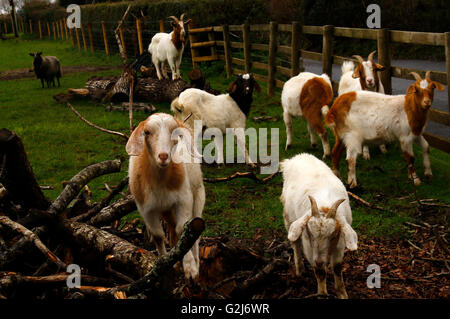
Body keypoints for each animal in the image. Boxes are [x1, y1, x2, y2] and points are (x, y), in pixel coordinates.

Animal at [125, 112, 205, 280]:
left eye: (175, 132)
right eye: (146, 132)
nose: (163, 156)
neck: (160, 179)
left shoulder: (184, 200)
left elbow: (182, 230)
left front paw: (190, 269)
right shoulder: (146, 209)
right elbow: (158, 235)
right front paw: (164, 263)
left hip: (198, 196)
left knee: (194, 234)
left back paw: (196, 264)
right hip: (166, 211)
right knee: (171, 231)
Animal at [282, 154, 358, 298]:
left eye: (333, 236)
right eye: (309, 234)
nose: (319, 260)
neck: (324, 205)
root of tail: (297, 157)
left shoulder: (340, 242)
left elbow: (337, 267)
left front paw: (342, 293)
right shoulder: (309, 246)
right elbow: (319, 271)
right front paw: (322, 293)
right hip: (288, 218)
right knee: (295, 243)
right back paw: (300, 270)